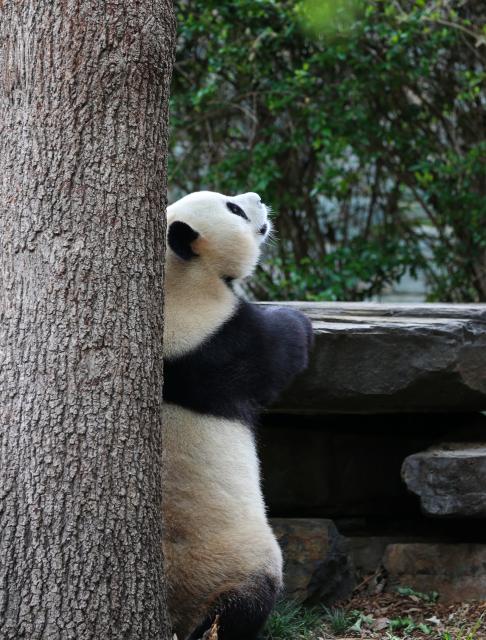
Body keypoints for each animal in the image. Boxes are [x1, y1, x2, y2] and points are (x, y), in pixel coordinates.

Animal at [162, 191, 313, 640]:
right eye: (233, 208)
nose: (258, 198)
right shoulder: (218, 340)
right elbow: (278, 349)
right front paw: (298, 320)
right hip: (235, 559)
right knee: (247, 600)